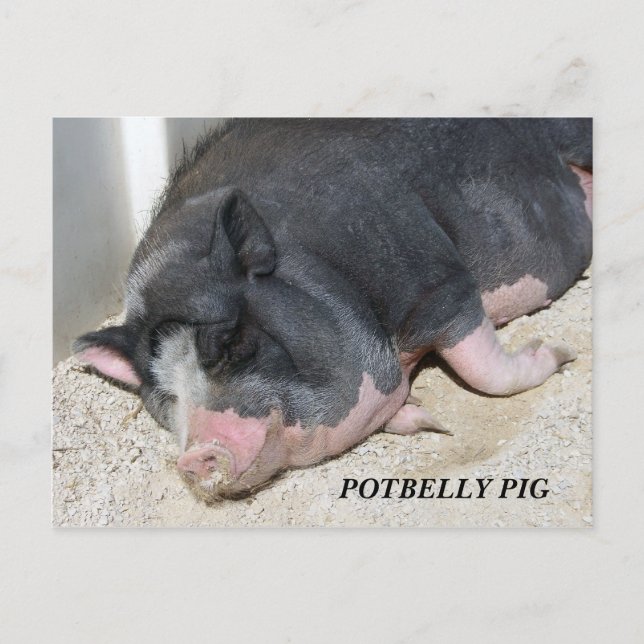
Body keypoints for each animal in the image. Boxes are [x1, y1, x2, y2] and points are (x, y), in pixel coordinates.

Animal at [73, 118, 592, 499]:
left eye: (232, 340)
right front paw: (425, 419)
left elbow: (485, 370)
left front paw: (559, 352)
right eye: (164, 395)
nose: (194, 456)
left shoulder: (442, 285)